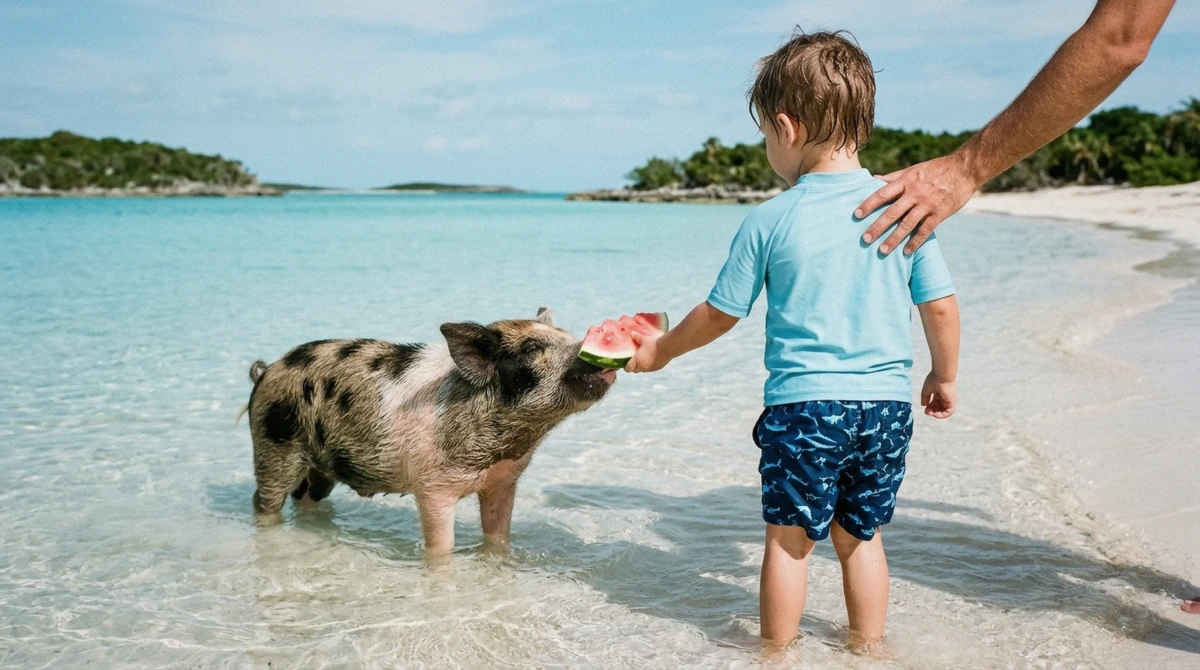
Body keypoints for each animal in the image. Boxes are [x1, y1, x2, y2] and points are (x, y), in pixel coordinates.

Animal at [244, 308, 615, 555]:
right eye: (532, 350)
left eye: (566, 334)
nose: (588, 348)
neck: (502, 444)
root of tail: (267, 372)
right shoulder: (432, 488)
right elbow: (441, 546)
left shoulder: (503, 482)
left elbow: (497, 535)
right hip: (273, 444)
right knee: (264, 501)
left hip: (319, 468)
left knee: (305, 497)